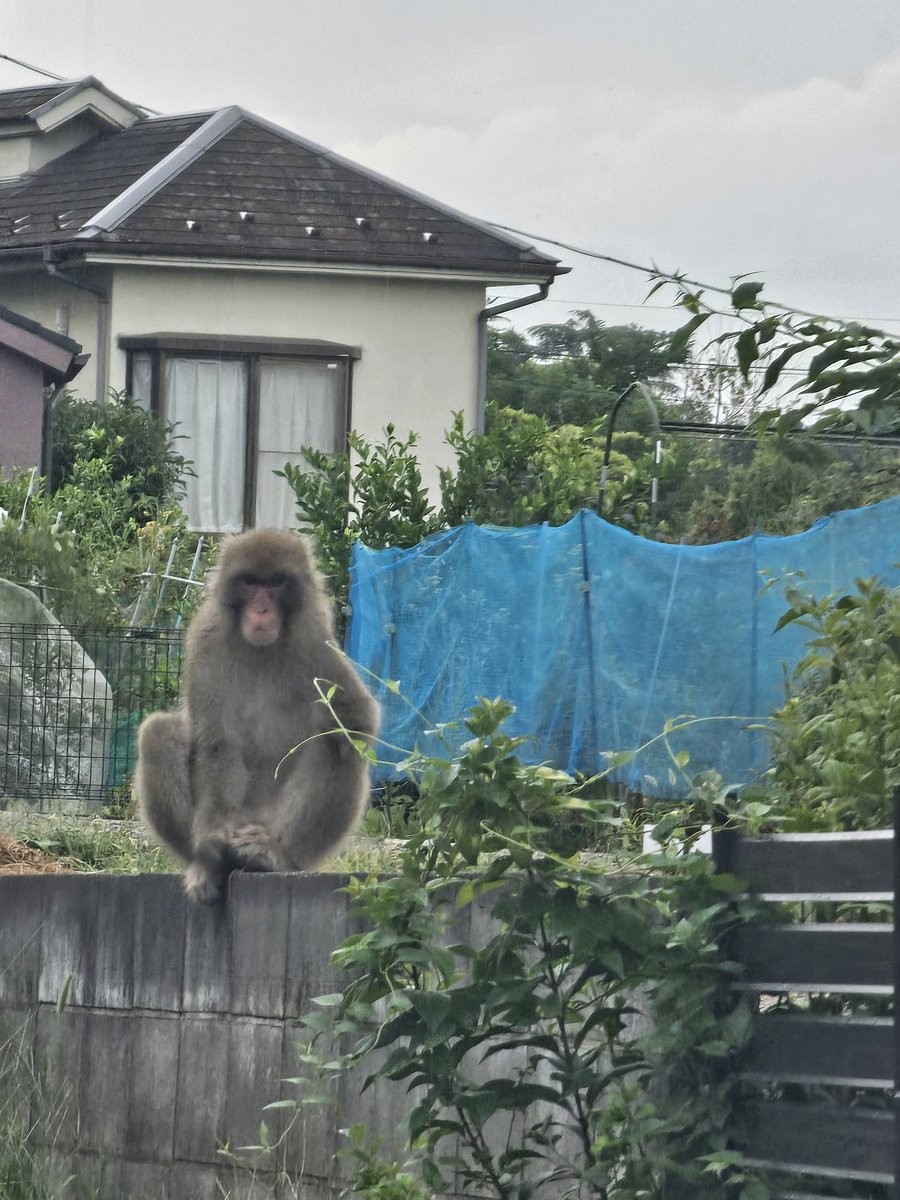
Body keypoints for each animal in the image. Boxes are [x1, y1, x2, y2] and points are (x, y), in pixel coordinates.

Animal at [134, 528, 379, 905]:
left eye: (276, 582)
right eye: (250, 582)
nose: (262, 609)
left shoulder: (315, 639)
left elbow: (356, 717)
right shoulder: (206, 642)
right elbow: (216, 745)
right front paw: (209, 845)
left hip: (273, 822)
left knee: (340, 740)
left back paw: (272, 855)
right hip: (237, 815)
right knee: (158, 733)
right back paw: (209, 863)